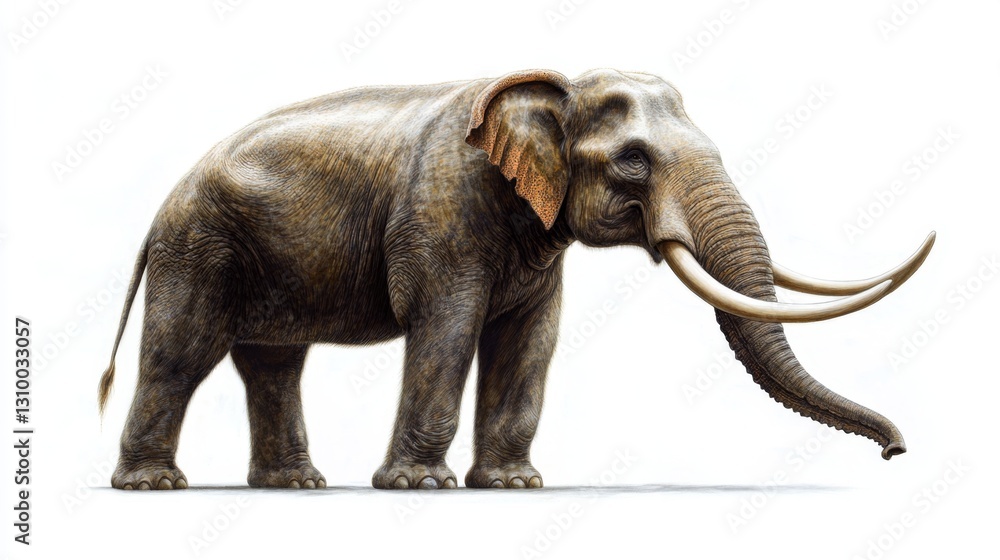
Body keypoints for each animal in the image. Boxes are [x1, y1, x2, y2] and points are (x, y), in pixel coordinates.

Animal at [98, 68, 934, 490]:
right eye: (634, 161)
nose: (896, 455)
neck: (554, 88)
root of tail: (163, 202)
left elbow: (531, 339)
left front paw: (509, 486)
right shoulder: (443, 209)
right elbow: (447, 326)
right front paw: (421, 488)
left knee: (272, 364)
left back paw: (295, 487)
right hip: (200, 247)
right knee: (179, 356)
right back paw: (153, 488)